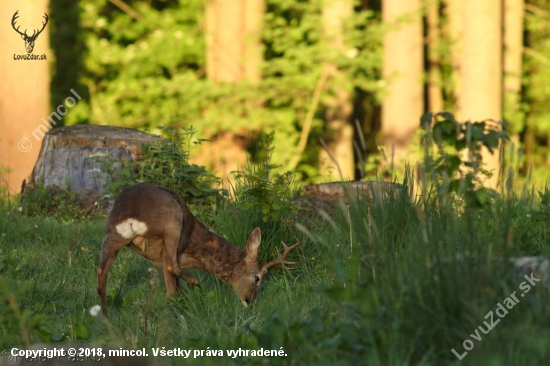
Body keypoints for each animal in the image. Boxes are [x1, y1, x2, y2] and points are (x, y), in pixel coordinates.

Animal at [97, 183, 300, 318]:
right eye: (257, 278)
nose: (250, 302)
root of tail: (131, 212)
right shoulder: (170, 251)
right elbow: (173, 285)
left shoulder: (160, 257)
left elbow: (173, 289)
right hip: (172, 222)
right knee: (173, 266)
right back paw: (195, 283)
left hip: (111, 233)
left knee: (101, 276)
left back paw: (106, 318)